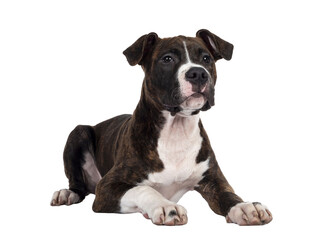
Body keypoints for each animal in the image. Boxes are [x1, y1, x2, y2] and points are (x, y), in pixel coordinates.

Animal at [51, 29, 272, 226]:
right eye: (167, 59)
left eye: (206, 58)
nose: (198, 73)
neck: (176, 130)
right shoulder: (107, 187)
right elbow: (144, 189)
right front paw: (166, 207)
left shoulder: (213, 180)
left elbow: (228, 194)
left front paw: (245, 207)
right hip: (78, 133)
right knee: (77, 184)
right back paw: (67, 194)